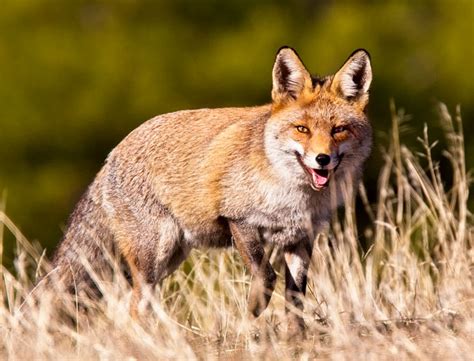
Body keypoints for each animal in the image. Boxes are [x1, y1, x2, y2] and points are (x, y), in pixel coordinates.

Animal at [51, 46, 370, 330]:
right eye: (302, 129)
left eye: (339, 130)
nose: (322, 159)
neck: (294, 197)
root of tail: (112, 155)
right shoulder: (238, 219)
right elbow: (265, 276)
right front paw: (253, 311)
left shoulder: (301, 237)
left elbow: (295, 300)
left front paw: (295, 338)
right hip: (155, 252)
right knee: (133, 307)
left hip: (171, 257)